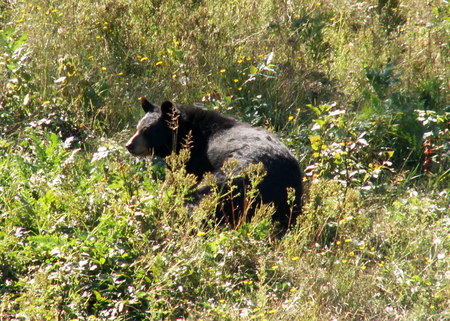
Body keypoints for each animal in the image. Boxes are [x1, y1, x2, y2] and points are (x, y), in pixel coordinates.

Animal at [126, 97, 302, 230]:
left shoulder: (196, 158)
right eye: (137, 128)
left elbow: (181, 178)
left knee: (205, 196)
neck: (190, 132)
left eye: (146, 131)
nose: (129, 145)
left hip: (232, 175)